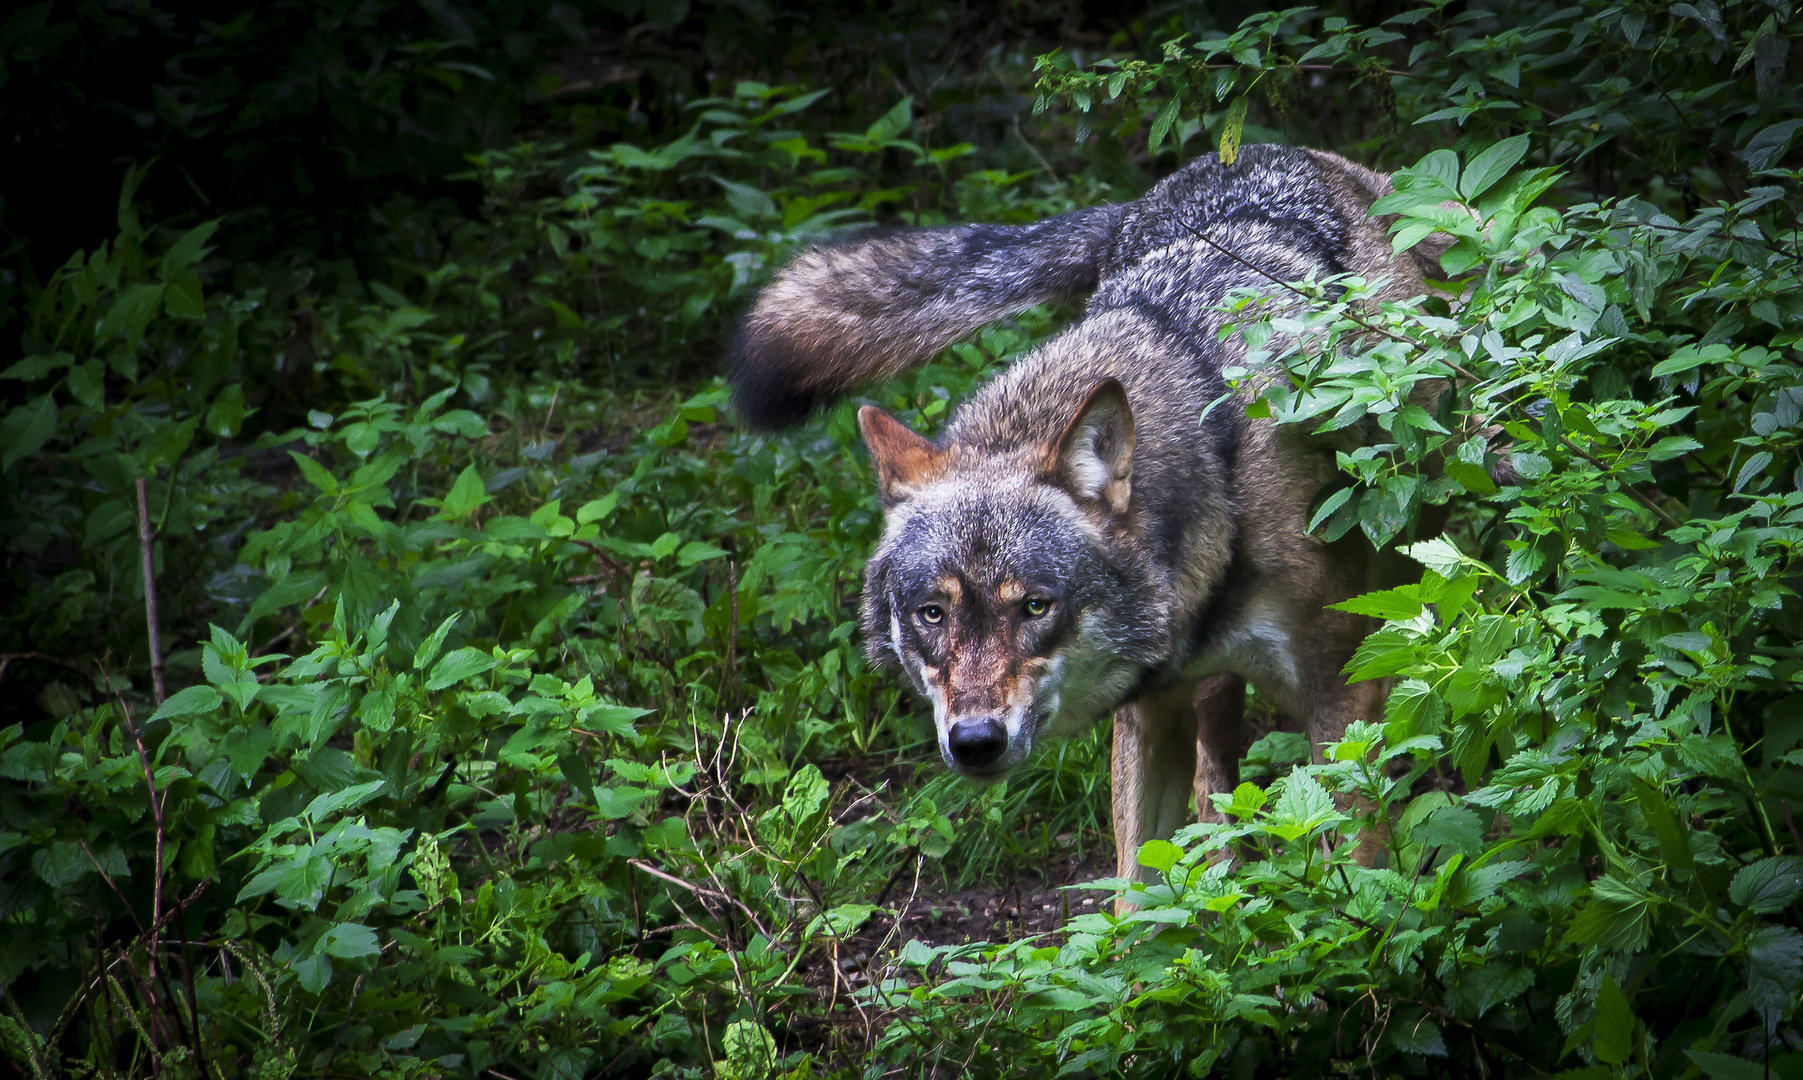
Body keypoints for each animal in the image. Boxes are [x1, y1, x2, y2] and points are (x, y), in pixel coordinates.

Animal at [724, 146, 1442, 887]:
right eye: (933, 614)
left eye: (1036, 606)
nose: (975, 742)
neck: (1222, 474)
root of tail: (1267, 150)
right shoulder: (1147, 713)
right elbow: (1138, 894)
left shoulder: (1347, 704)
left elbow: (1353, 879)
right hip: (1206, 696)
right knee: (1215, 793)